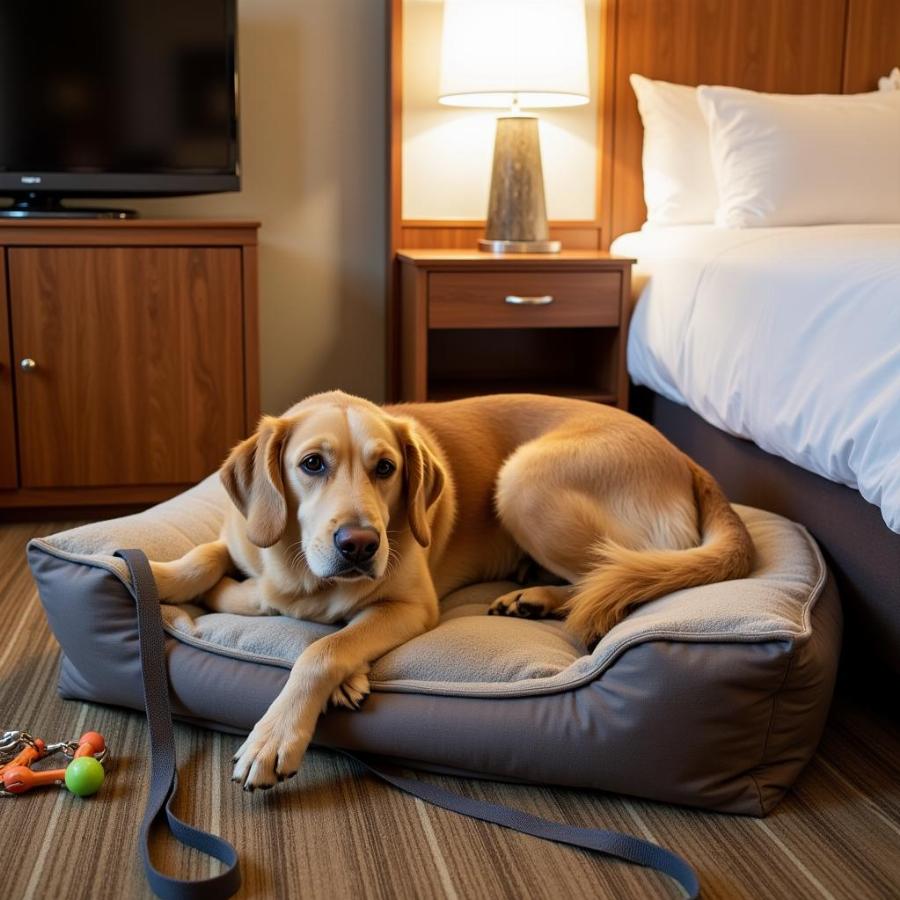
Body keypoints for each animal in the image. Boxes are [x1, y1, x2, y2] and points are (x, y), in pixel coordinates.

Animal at [149, 390, 752, 792]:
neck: (299, 569)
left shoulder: (414, 605)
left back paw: (541, 596)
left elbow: (323, 649)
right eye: (311, 464)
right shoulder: (244, 537)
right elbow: (206, 557)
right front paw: (155, 572)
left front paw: (278, 732)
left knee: (612, 572)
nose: (360, 545)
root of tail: (686, 460)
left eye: (386, 468)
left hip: (524, 478)